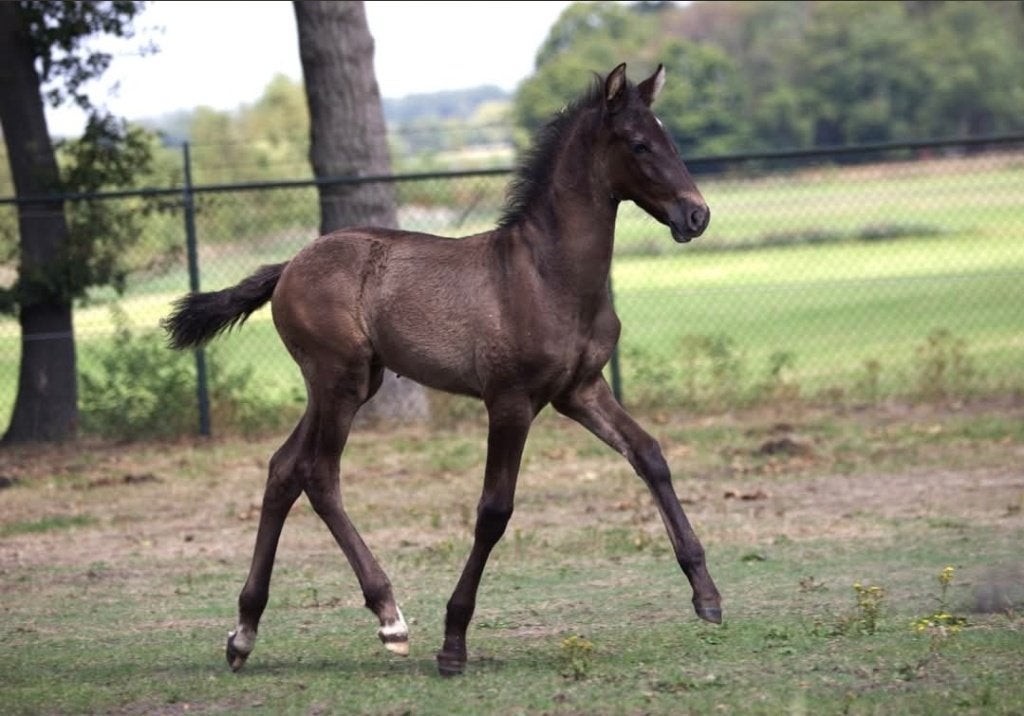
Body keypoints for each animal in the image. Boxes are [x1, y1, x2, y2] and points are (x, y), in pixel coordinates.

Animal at [163, 62, 721, 676]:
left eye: (671, 139)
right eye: (640, 143)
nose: (697, 214)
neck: (547, 275)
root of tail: (290, 264)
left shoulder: (580, 390)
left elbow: (649, 455)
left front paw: (707, 595)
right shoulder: (510, 401)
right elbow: (494, 511)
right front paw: (453, 641)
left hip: (351, 384)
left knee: (284, 469)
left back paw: (244, 633)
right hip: (339, 381)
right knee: (319, 474)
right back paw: (389, 618)